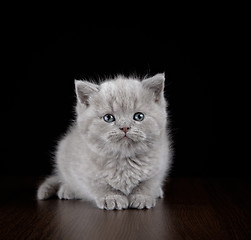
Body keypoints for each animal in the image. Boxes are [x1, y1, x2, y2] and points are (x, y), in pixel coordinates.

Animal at [37, 73, 172, 210]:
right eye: (108, 118)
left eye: (139, 116)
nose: (125, 127)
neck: (124, 160)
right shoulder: (85, 171)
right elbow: (101, 185)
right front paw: (112, 198)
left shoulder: (159, 166)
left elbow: (147, 183)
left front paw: (142, 197)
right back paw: (68, 190)